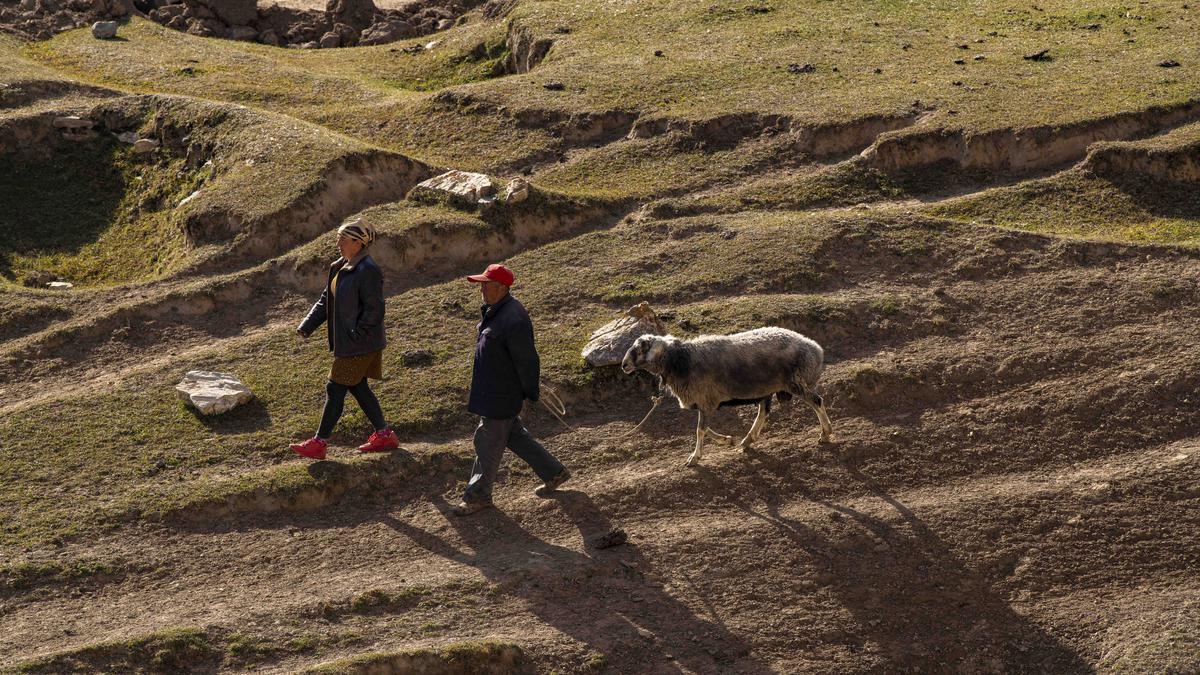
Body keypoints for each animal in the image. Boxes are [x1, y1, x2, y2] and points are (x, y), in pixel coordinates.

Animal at [624, 324, 830, 461]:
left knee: (817, 402)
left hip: (797, 382)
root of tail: (816, 349)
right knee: (763, 412)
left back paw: (825, 433)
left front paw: (695, 457)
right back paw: (747, 440)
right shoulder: (704, 402)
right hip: (769, 388)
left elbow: (700, 430)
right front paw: (726, 440)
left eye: (640, 349)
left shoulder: (705, 401)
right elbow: (704, 428)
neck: (679, 360)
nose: (624, 365)